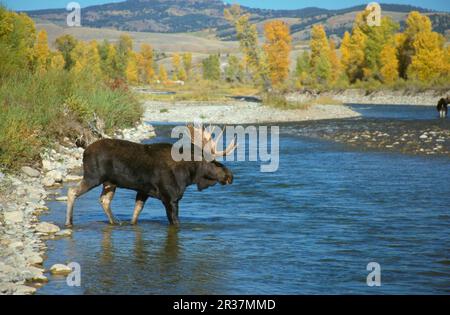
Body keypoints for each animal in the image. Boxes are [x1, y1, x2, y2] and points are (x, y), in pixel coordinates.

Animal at [66, 125, 237, 227]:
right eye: (214, 162)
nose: (230, 175)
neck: (188, 176)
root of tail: (85, 150)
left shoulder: (143, 191)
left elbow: (135, 214)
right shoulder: (171, 198)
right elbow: (175, 222)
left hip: (110, 183)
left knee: (104, 200)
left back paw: (115, 222)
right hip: (93, 176)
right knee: (72, 191)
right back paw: (69, 222)